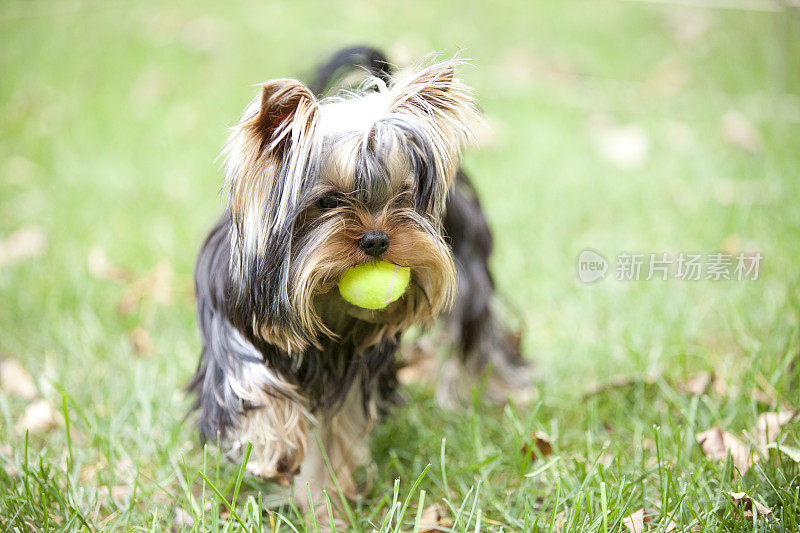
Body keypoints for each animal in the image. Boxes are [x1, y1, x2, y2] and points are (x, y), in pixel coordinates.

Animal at [190, 46, 528, 508]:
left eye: (403, 195)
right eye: (329, 201)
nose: (376, 240)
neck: (322, 301)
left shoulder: (352, 370)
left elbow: (335, 433)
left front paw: (324, 503)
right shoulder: (231, 324)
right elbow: (250, 385)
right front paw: (276, 452)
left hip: (471, 273)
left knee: (477, 337)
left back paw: (500, 392)